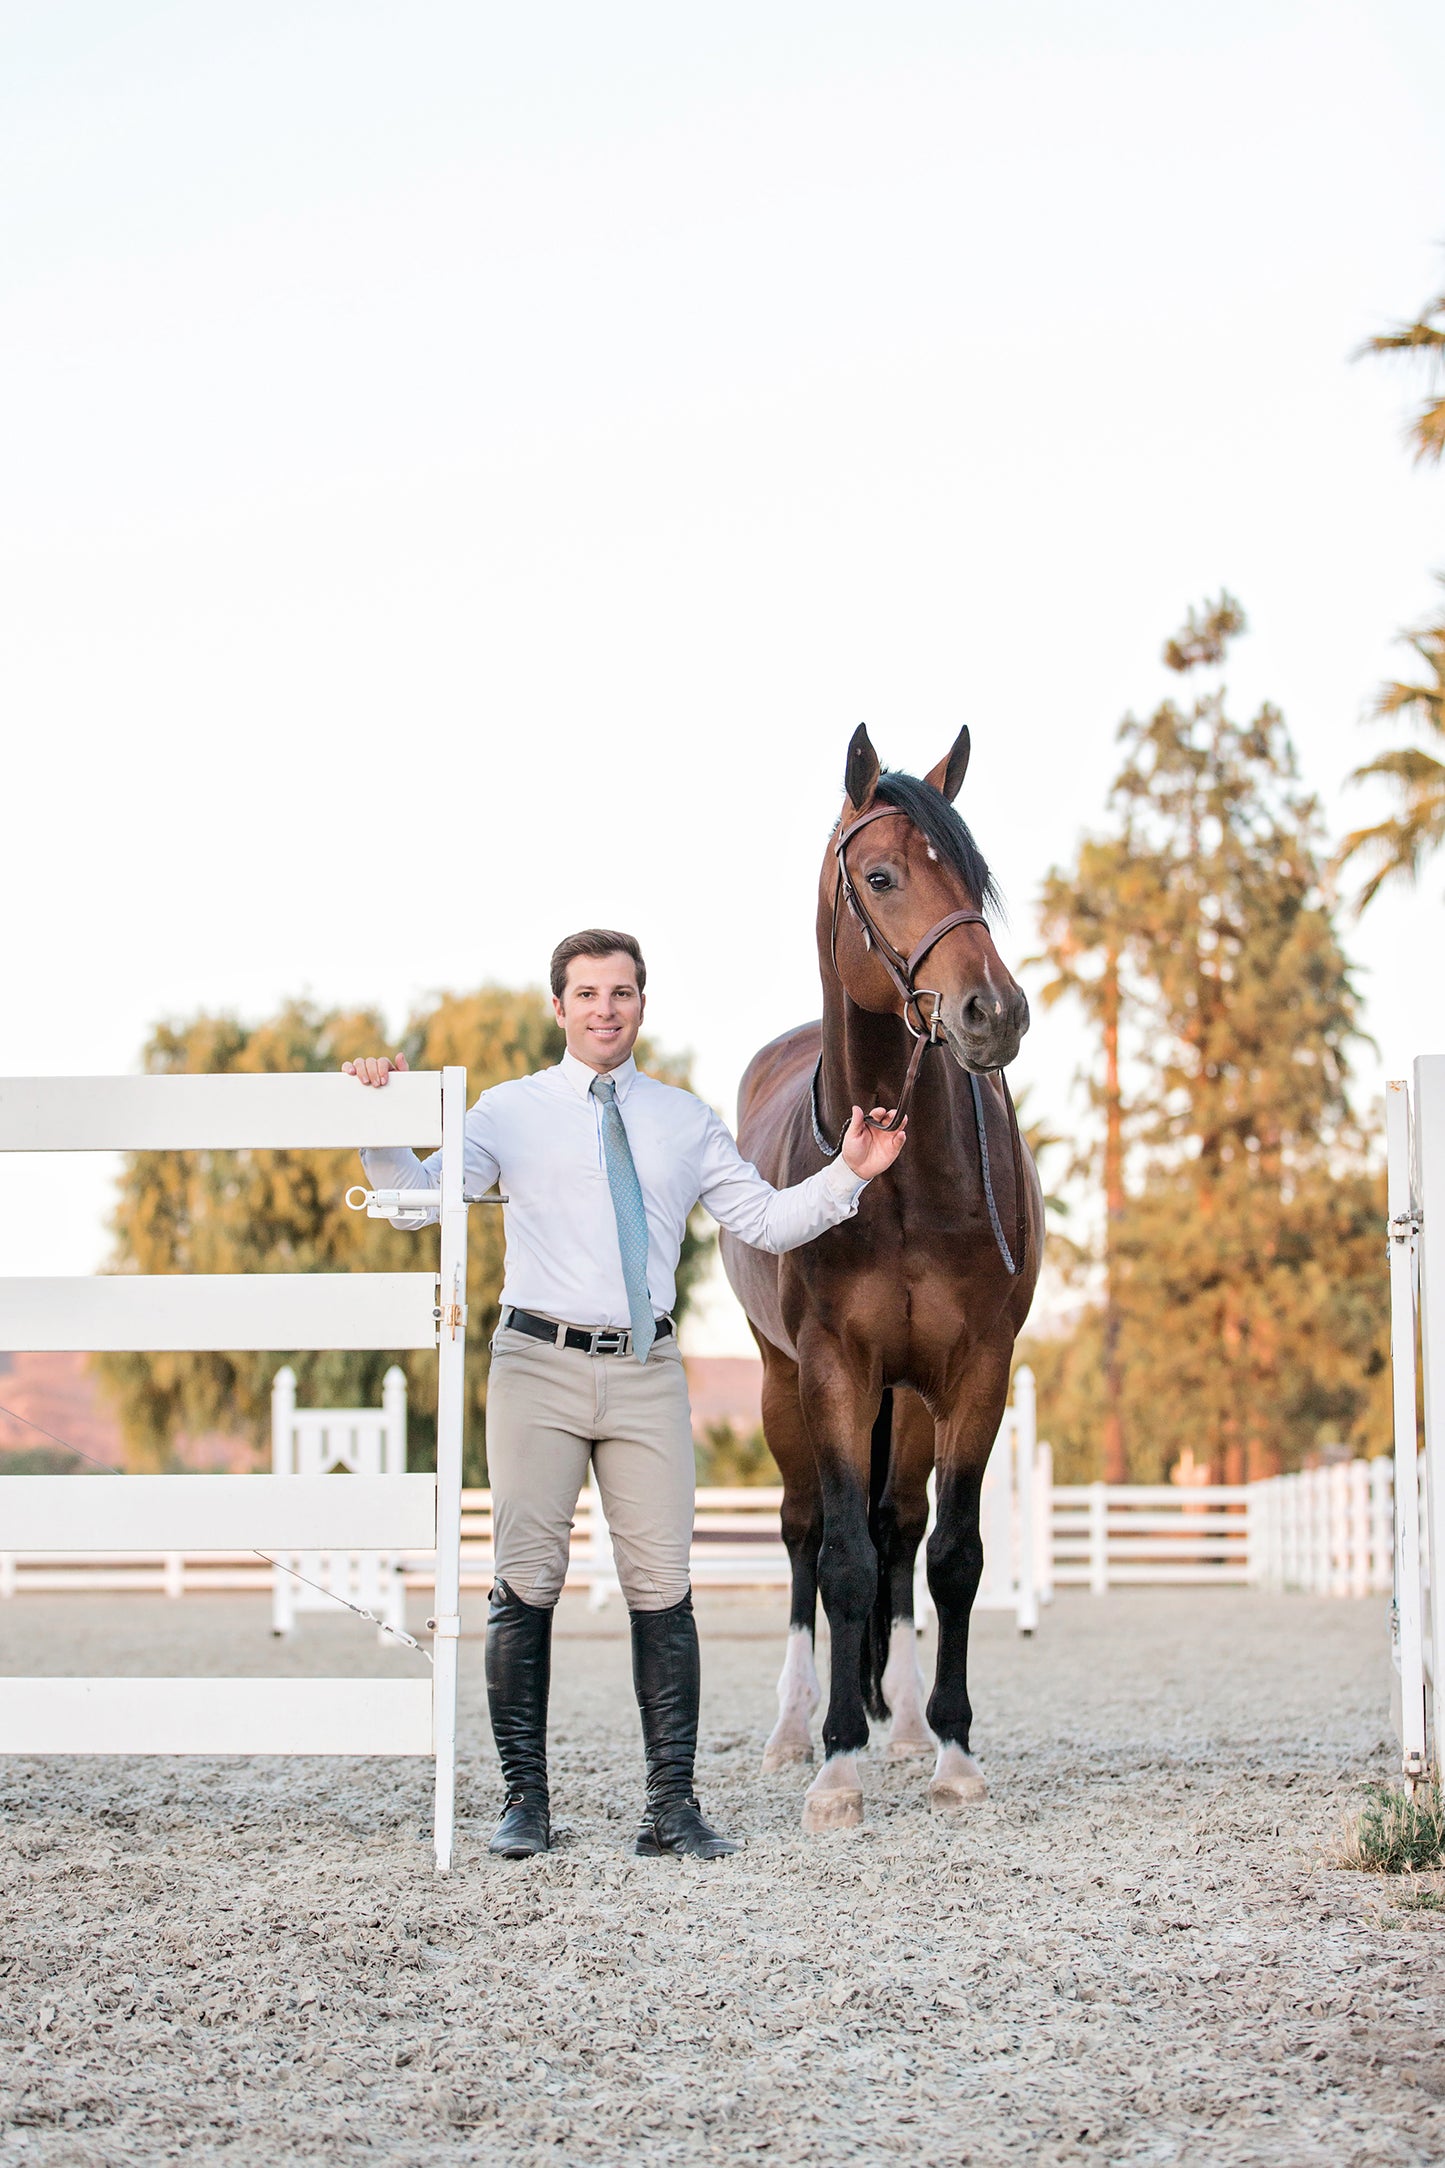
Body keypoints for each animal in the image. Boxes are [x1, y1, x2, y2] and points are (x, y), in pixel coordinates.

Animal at [719, 724, 1039, 1829]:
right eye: (881, 875)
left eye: (975, 878)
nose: (994, 1012)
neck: (897, 1182)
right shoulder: (831, 1370)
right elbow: (843, 1560)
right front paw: (835, 1767)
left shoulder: (973, 1373)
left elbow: (950, 1557)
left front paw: (950, 1747)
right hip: (784, 1386)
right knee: (806, 1534)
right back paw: (791, 1728)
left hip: (908, 1400)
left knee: (901, 1533)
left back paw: (900, 1722)